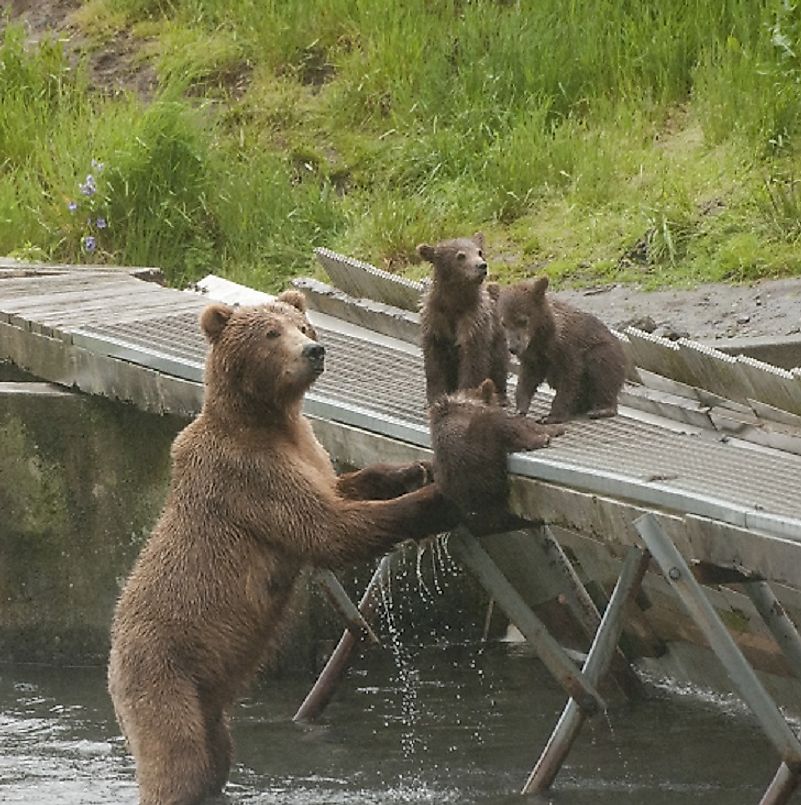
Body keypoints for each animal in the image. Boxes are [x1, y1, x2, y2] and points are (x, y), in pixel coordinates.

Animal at [418, 236, 506, 406]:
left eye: (479, 252)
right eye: (460, 255)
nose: (481, 265)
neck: (455, 304)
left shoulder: (474, 322)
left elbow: (472, 361)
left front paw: (466, 394)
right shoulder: (435, 322)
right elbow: (434, 363)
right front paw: (435, 396)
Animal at [500, 276, 624, 424]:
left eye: (523, 320)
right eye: (504, 323)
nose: (513, 348)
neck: (539, 337)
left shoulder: (565, 346)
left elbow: (570, 376)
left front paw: (551, 416)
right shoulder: (532, 356)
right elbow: (527, 379)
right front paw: (520, 410)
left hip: (604, 351)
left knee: (602, 368)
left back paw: (602, 408)